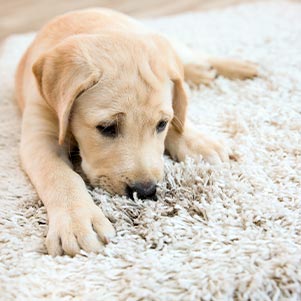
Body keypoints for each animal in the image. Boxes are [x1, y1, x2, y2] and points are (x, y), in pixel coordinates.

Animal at [15, 7, 256, 255]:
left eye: (161, 124)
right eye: (107, 128)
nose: (145, 191)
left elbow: (179, 111)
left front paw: (198, 142)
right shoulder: (40, 136)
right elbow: (59, 176)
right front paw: (76, 222)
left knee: (189, 59)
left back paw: (235, 67)